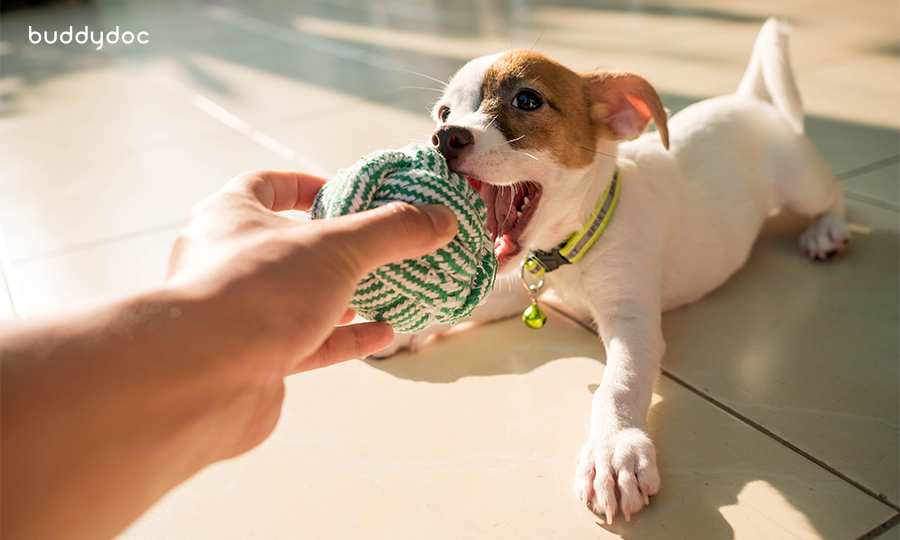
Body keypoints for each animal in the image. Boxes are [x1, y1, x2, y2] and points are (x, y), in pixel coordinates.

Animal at [374, 19, 852, 520]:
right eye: (444, 113)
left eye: (527, 100)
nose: (444, 138)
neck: (576, 240)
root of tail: (751, 102)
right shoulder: (518, 285)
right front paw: (400, 330)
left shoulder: (632, 321)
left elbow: (618, 385)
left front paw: (613, 451)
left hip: (802, 185)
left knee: (835, 195)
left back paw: (827, 231)